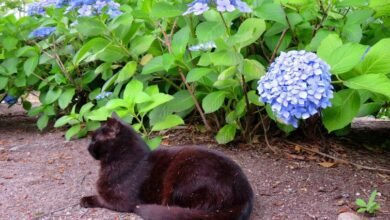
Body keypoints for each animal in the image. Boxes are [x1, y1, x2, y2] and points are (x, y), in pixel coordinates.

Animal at [80, 116, 254, 219]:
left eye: (94, 140)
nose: (87, 147)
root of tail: (245, 193)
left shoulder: (122, 201)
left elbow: (101, 199)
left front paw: (85, 200)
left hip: (180, 177)